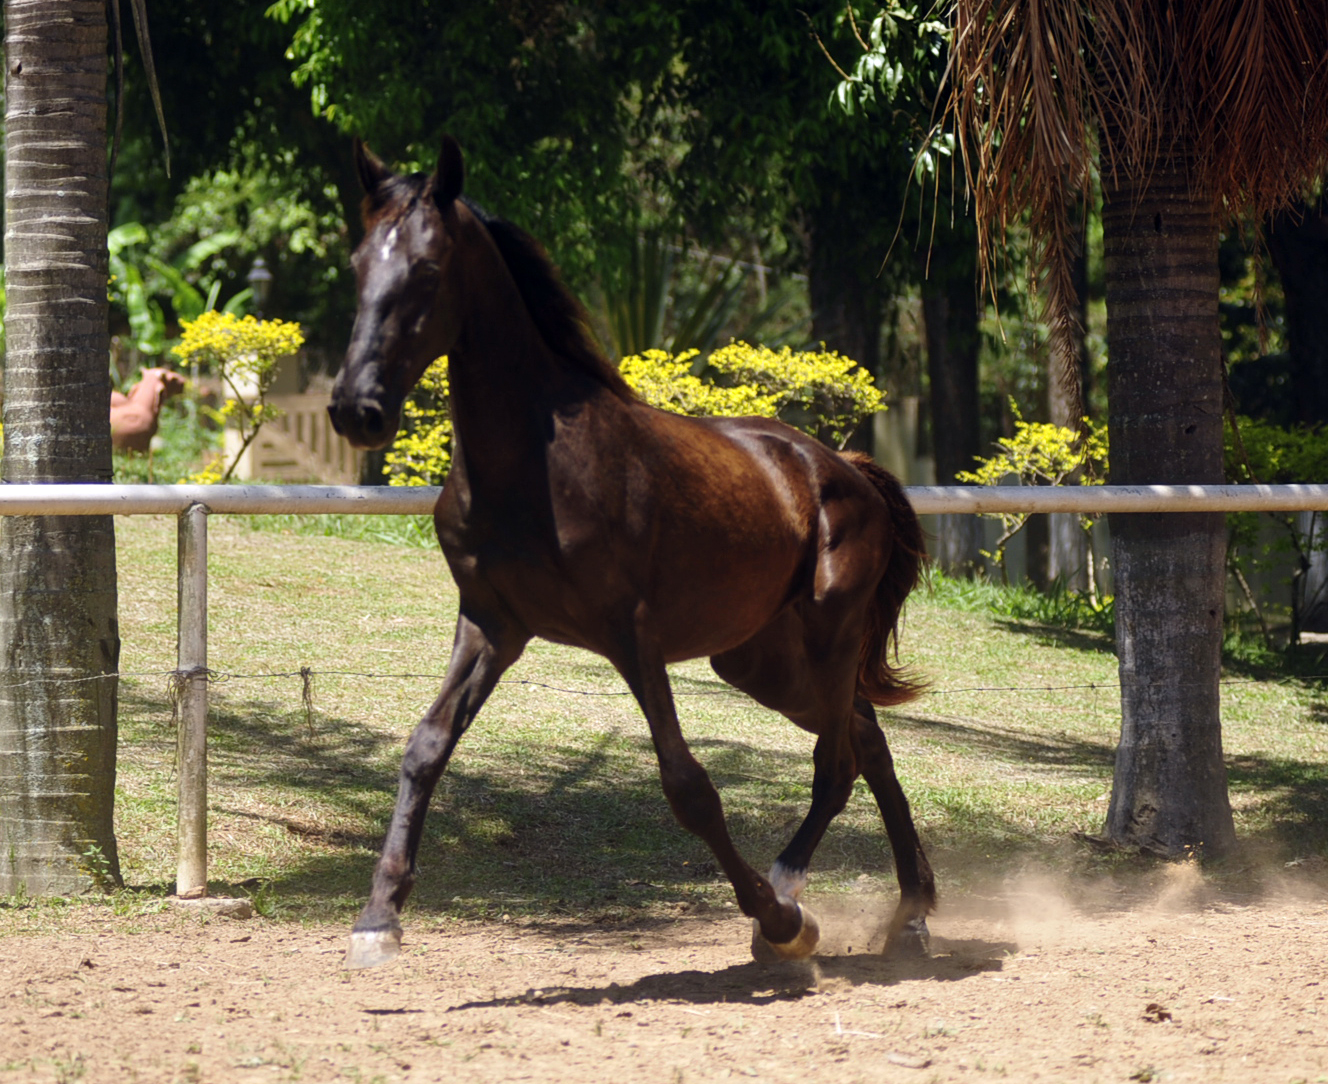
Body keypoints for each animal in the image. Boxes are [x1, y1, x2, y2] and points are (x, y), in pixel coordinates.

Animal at [327, 135, 935, 971]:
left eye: (426, 268)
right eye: (358, 263)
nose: (356, 410)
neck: (534, 463)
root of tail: (843, 467)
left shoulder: (631, 636)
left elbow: (689, 787)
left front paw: (777, 919)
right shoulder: (492, 624)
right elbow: (426, 747)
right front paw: (378, 919)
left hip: (828, 639)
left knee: (837, 764)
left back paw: (792, 906)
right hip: (761, 662)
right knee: (867, 741)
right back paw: (909, 911)